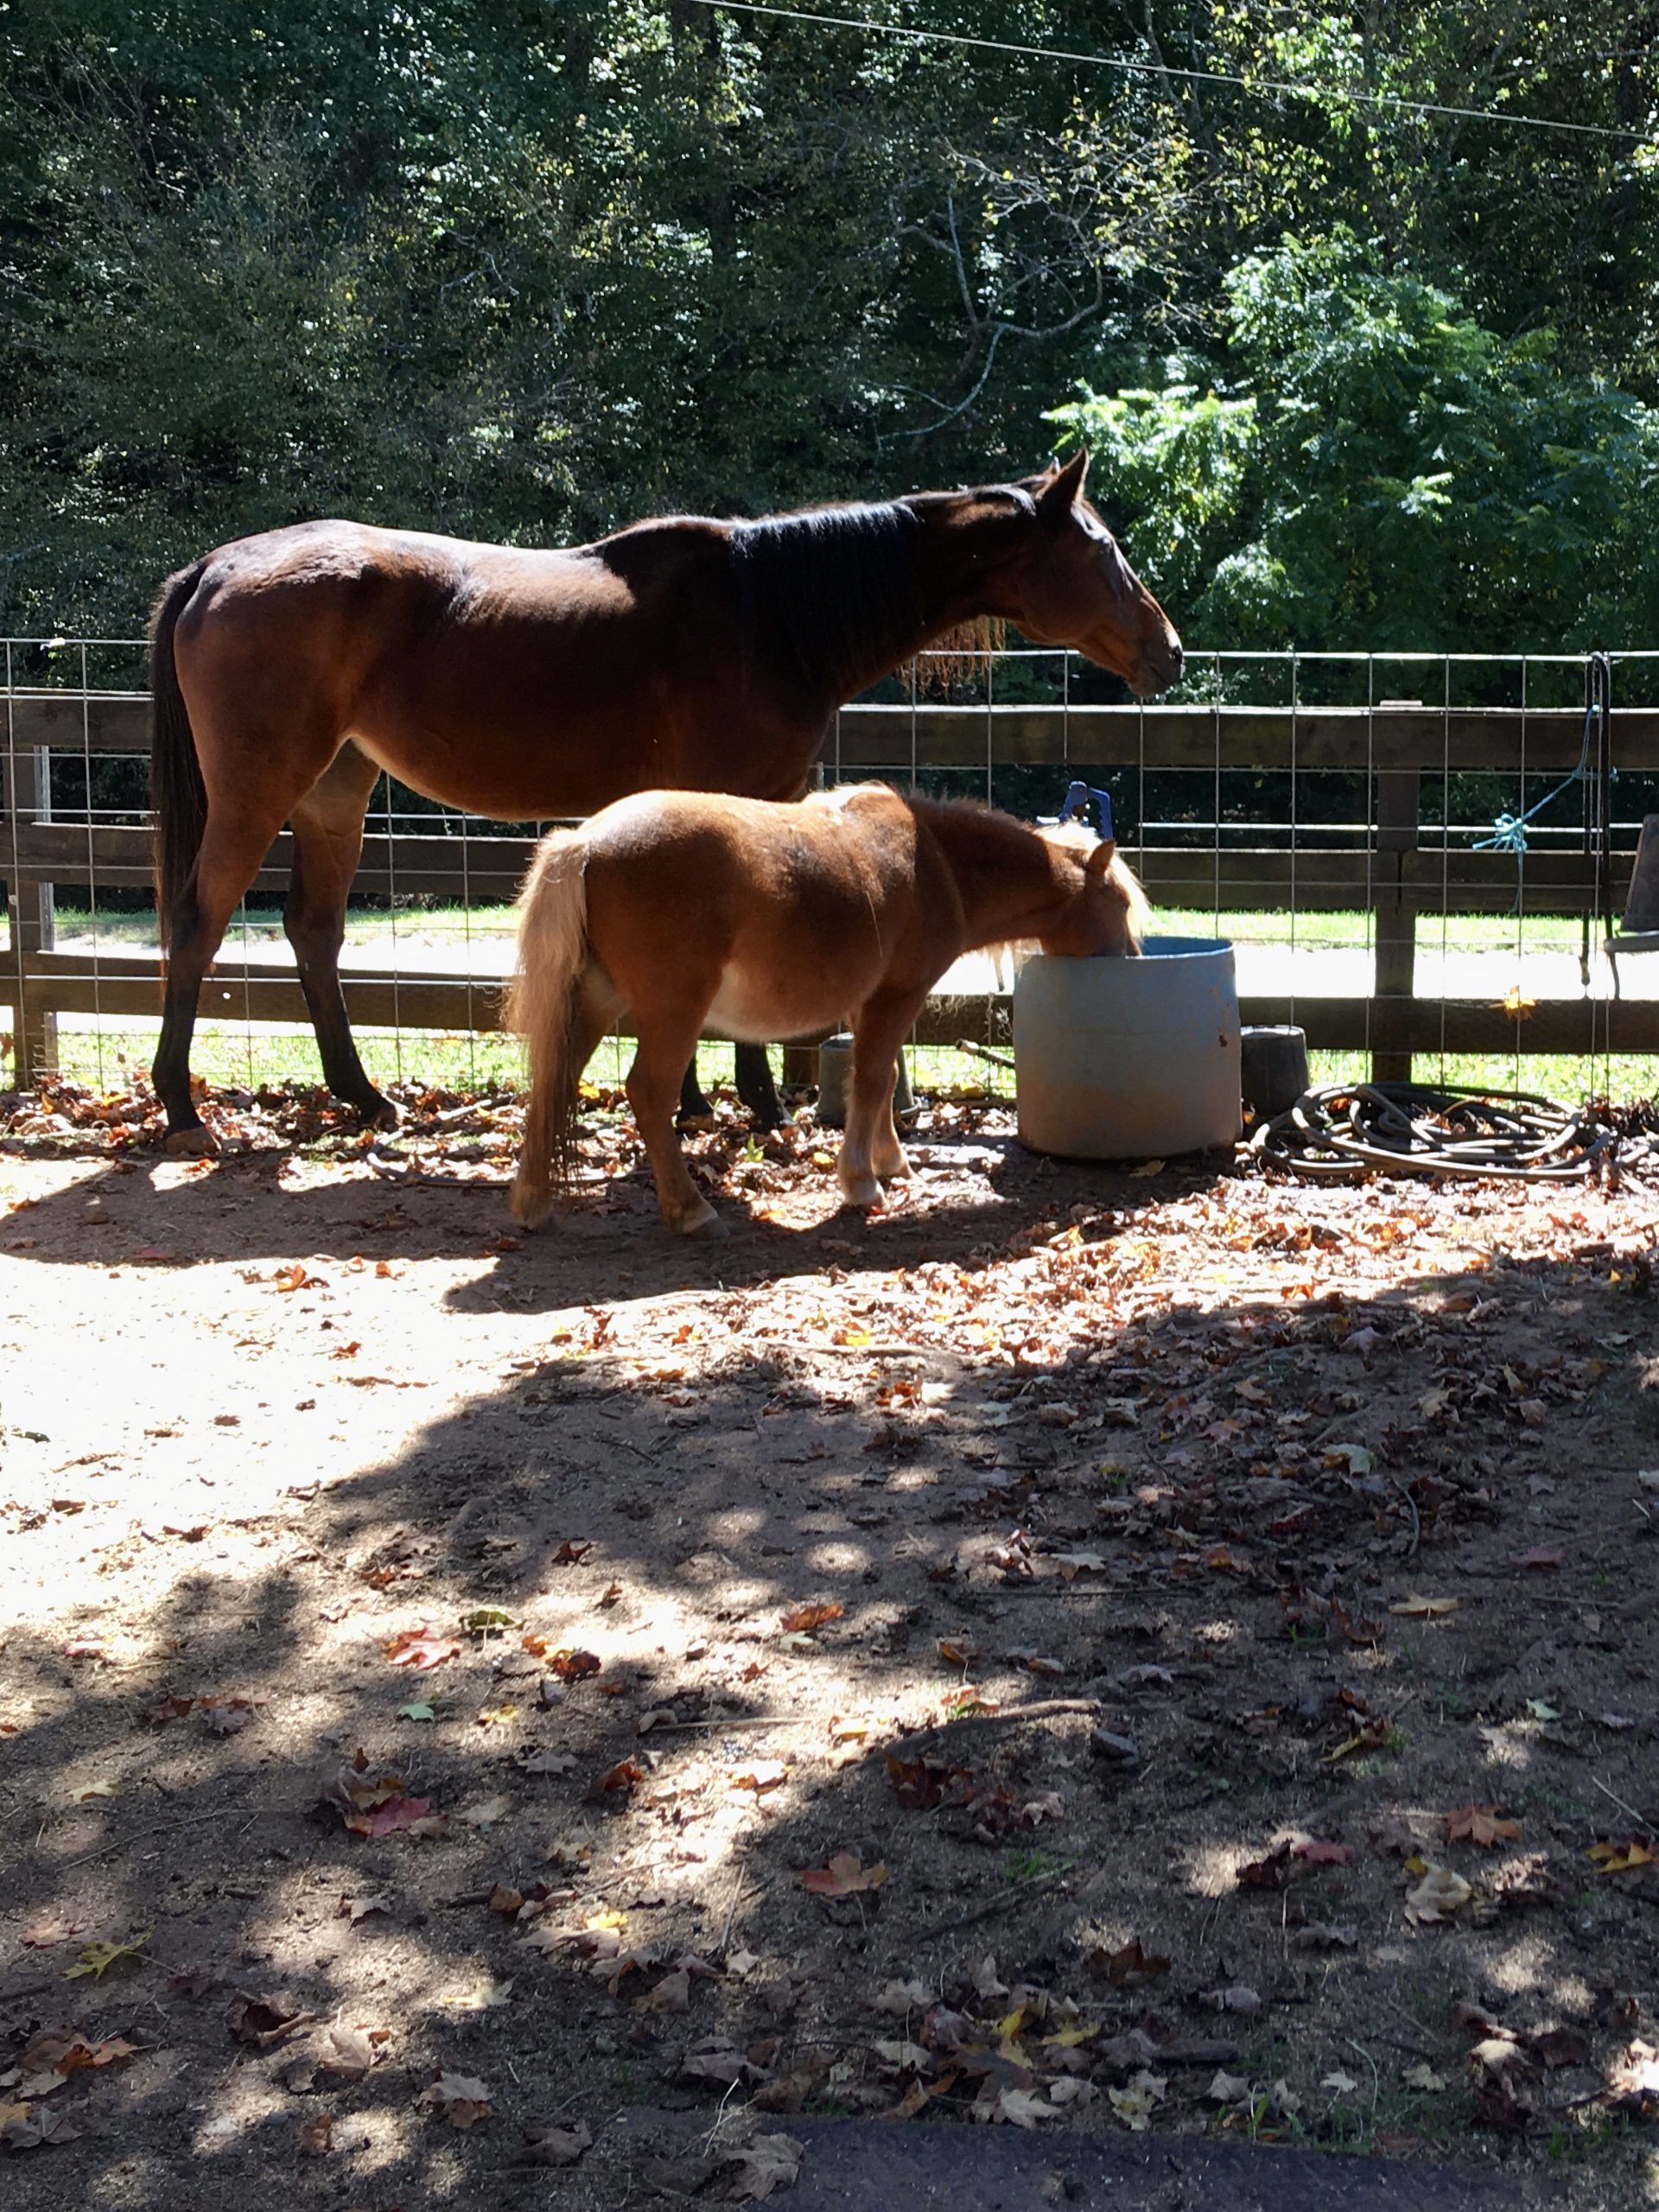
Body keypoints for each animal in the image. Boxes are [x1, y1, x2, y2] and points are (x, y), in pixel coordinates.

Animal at [146, 451, 1181, 1152]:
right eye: (1102, 548)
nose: (1167, 649)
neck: (773, 613)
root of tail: (215, 568)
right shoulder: (738, 798)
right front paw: (753, 1104)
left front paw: (703, 1101)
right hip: (259, 791)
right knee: (199, 921)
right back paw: (183, 1109)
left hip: (334, 792)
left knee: (313, 931)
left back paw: (362, 1098)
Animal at [505, 782, 1148, 1236]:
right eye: (1118, 903)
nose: (1134, 959)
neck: (939, 865)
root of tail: (586, 843)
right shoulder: (898, 995)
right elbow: (871, 1080)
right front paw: (862, 1183)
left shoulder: (872, 1004)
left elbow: (883, 1078)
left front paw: (890, 1163)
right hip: (672, 1013)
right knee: (648, 1092)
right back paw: (690, 1210)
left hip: (594, 1000)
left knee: (555, 1079)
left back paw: (533, 1204)